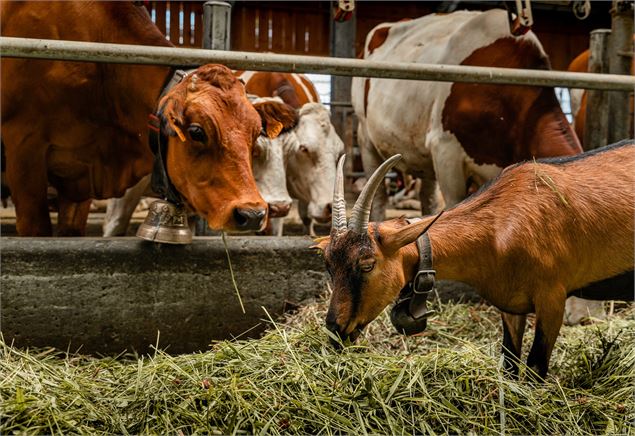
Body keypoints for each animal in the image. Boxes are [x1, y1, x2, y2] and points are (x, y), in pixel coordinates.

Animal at [318, 141, 635, 378]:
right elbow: (510, 365)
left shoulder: (552, 300)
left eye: (367, 264)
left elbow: (535, 369)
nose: (335, 328)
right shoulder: (511, 304)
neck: (502, 223)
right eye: (329, 265)